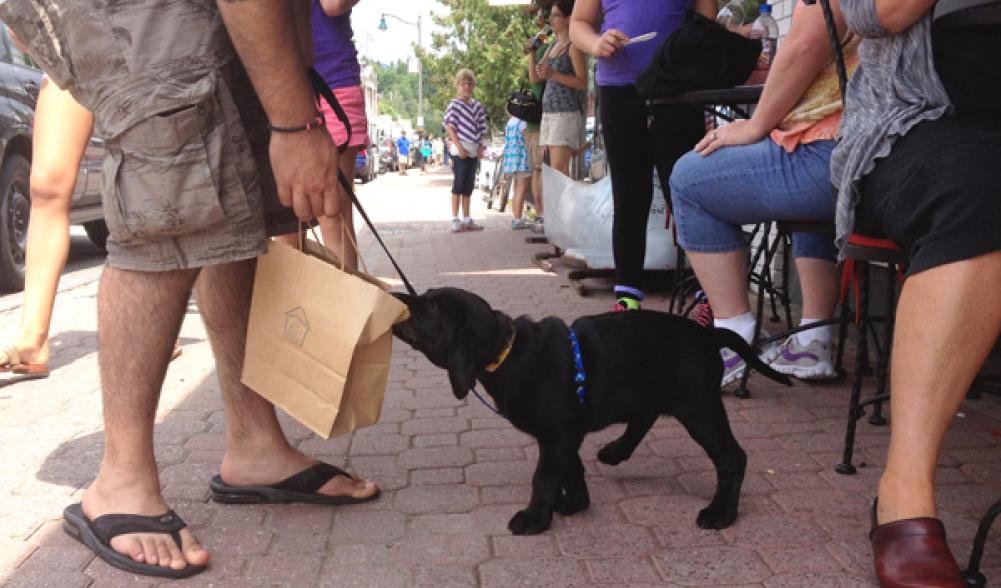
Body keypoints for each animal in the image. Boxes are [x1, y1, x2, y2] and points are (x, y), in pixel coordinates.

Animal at [390, 288, 788, 536]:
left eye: (432, 308)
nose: (395, 296)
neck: (509, 351)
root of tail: (709, 336)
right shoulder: (563, 435)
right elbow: (570, 469)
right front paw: (575, 502)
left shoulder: (557, 436)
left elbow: (544, 476)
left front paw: (535, 517)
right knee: (644, 416)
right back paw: (616, 451)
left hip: (698, 407)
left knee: (732, 457)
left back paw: (721, 513)